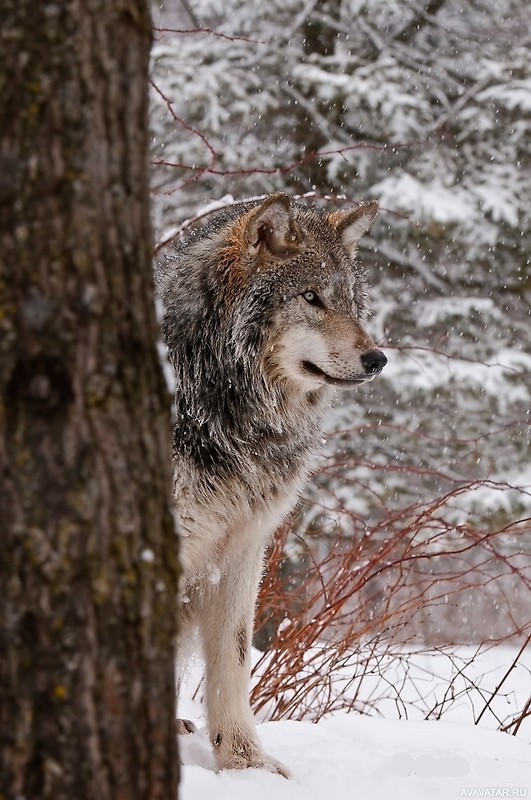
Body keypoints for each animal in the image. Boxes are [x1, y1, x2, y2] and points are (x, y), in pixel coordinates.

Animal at [157, 192, 386, 776]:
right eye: (310, 297)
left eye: (351, 302)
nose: (378, 358)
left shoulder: (240, 547)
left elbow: (234, 660)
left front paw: (245, 763)